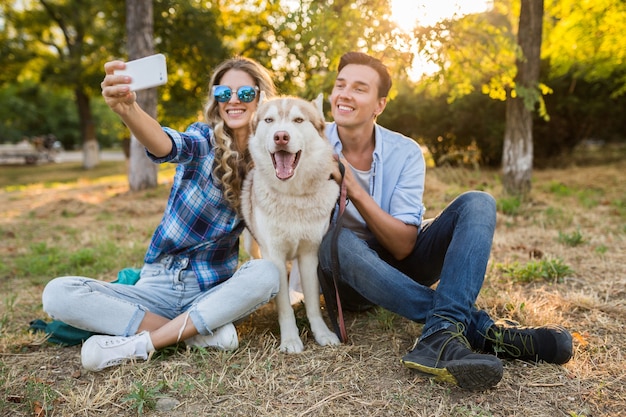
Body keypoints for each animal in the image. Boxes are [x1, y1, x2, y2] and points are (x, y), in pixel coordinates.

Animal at [240, 93, 338, 352]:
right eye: (269, 120)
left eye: (298, 120)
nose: (281, 136)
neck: (292, 196)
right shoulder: (274, 255)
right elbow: (283, 307)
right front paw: (291, 340)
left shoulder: (310, 254)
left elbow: (313, 302)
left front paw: (322, 333)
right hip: (252, 243)